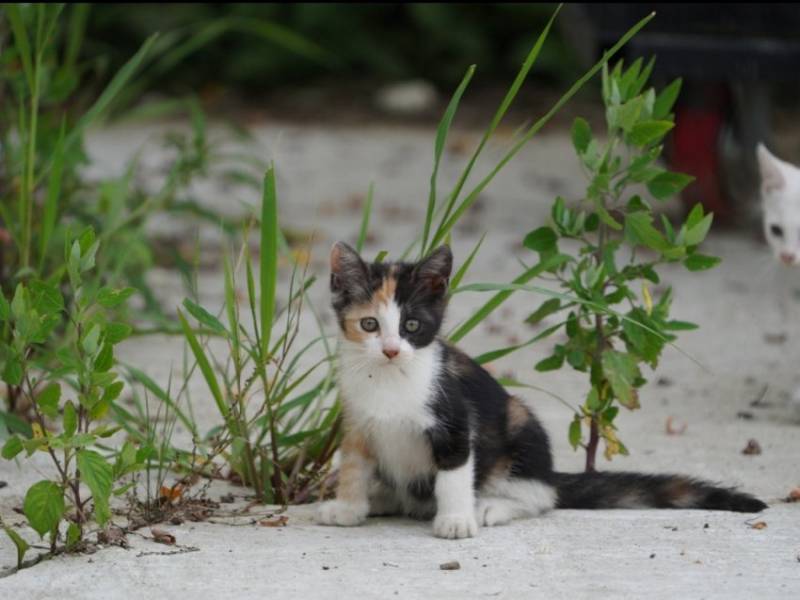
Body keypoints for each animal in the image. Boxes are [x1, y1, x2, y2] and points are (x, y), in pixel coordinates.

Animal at [314, 243, 768, 540]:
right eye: (370, 325)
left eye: (412, 326)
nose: (391, 350)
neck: (387, 379)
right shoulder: (357, 421)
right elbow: (353, 466)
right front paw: (349, 507)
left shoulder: (455, 416)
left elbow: (455, 474)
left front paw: (457, 519)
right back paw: (383, 497)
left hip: (520, 423)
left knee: (541, 493)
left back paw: (489, 506)